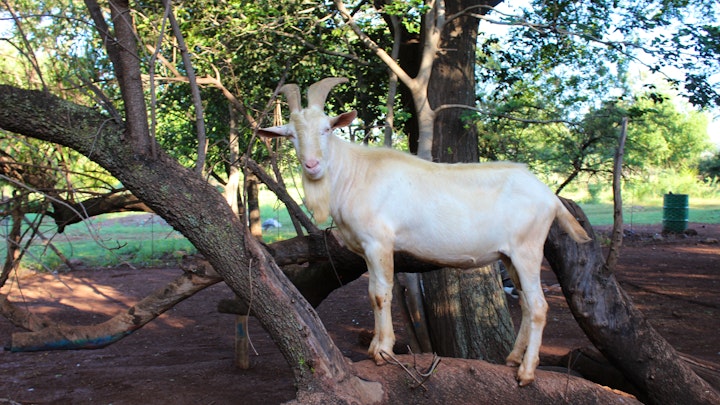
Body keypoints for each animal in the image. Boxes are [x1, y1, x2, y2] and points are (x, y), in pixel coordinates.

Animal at [258, 77, 591, 386]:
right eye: (291, 135)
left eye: (327, 129)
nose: (312, 165)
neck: (355, 174)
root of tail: (549, 196)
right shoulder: (366, 248)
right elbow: (371, 292)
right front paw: (375, 348)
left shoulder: (379, 242)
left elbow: (381, 293)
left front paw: (383, 352)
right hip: (509, 256)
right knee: (524, 301)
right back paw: (512, 359)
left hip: (528, 250)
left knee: (538, 306)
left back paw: (526, 372)